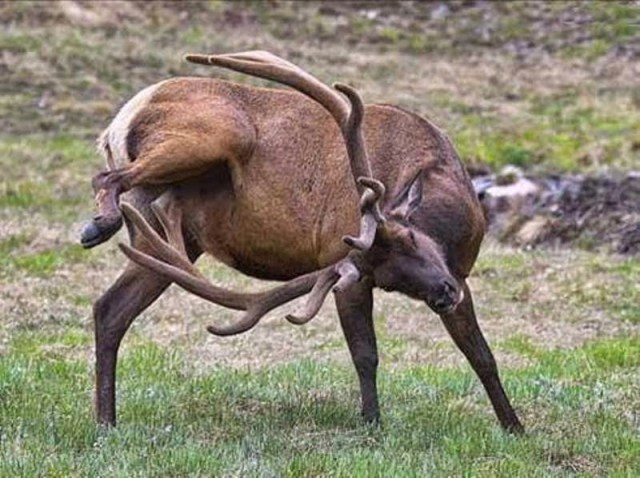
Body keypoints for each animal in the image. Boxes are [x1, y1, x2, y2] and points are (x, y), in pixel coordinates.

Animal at [81, 51, 524, 434]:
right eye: (388, 277)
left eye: (412, 237)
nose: (443, 294)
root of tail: (118, 122)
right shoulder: (345, 269)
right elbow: (366, 353)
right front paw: (372, 423)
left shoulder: (459, 274)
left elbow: (481, 354)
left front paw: (514, 427)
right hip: (219, 134)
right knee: (107, 180)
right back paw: (99, 224)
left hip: (170, 243)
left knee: (111, 307)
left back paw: (106, 422)